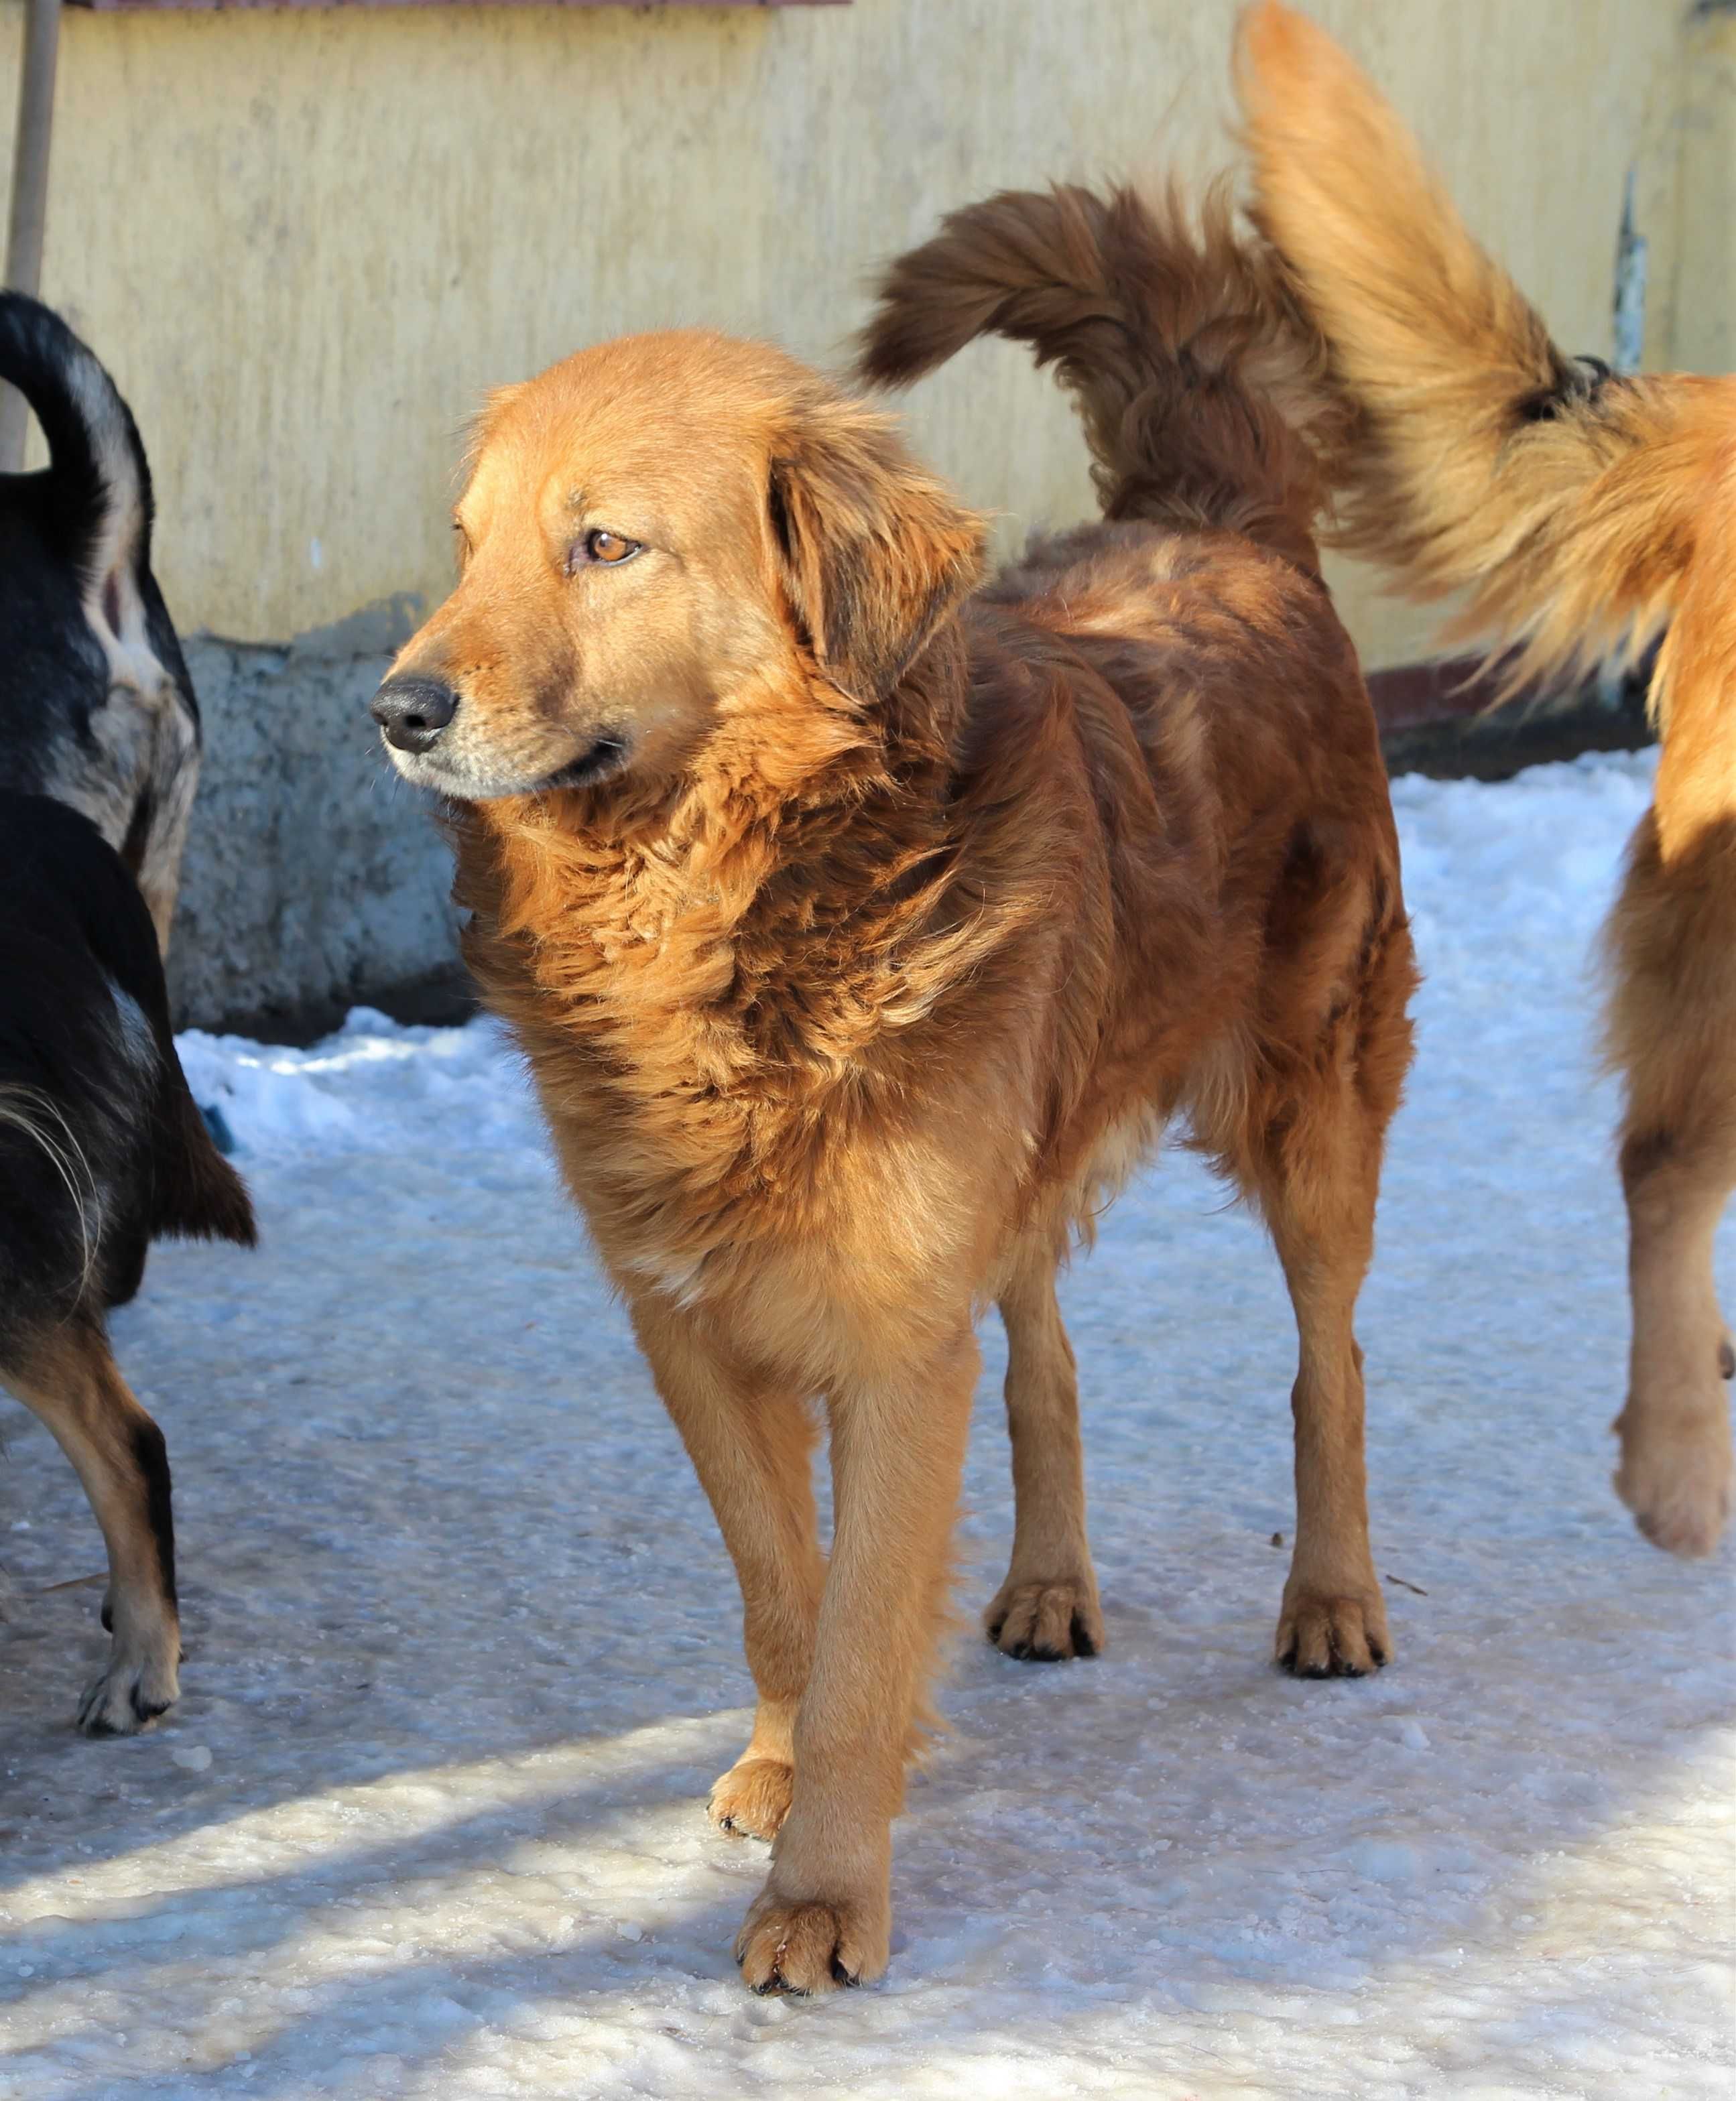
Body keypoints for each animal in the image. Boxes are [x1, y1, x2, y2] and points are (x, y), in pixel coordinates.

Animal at [372, 180, 1412, 1983]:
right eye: (467, 540)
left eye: (604, 544)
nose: (396, 708)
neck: (728, 899)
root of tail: (1214, 524)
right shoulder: (692, 1314)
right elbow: (787, 1591)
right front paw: (781, 1773)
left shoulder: (887, 1329)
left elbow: (864, 1633)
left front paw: (823, 1891)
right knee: (1046, 1353)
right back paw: (1052, 1579)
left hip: (1308, 1105)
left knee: (1327, 1358)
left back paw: (1333, 1600)